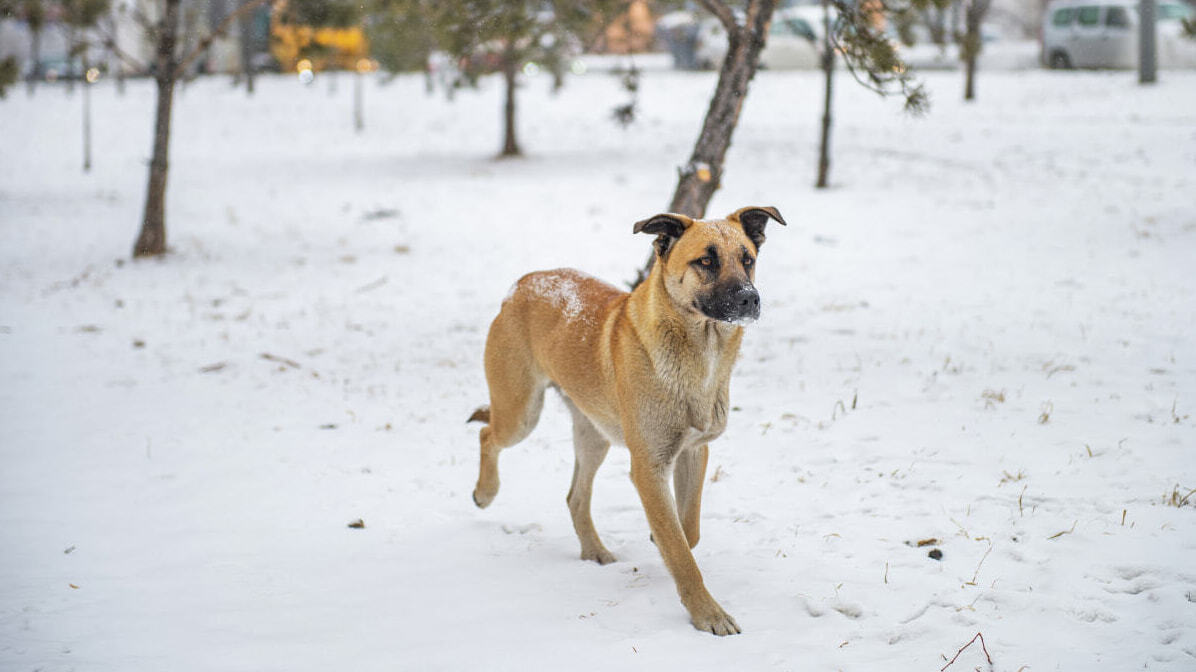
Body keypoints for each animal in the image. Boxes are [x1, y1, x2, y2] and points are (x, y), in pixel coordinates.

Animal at [471, 204, 789, 631]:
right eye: (706, 261)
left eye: (748, 260)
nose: (749, 300)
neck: (697, 352)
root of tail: (523, 283)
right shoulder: (649, 467)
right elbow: (682, 552)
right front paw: (708, 614)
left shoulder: (694, 452)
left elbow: (687, 531)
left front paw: (665, 542)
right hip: (521, 411)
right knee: (488, 435)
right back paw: (485, 492)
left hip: (594, 435)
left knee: (575, 496)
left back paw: (594, 551)